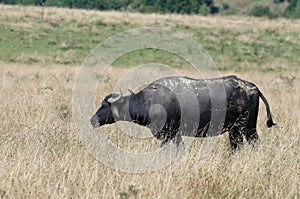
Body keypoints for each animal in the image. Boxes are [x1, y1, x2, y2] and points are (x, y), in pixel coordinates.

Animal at [90, 75, 276, 150]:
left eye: (104, 105)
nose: (92, 120)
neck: (148, 101)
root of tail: (253, 87)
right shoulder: (175, 135)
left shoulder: (167, 135)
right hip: (234, 130)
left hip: (248, 128)